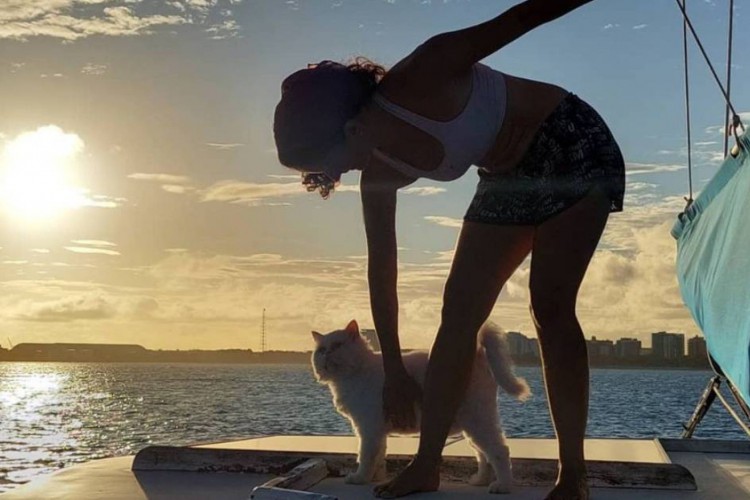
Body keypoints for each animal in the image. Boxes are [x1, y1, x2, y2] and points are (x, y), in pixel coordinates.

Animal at [310, 318, 528, 494]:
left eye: (337, 345)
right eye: (321, 350)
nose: (326, 355)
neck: (353, 374)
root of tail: (478, 354)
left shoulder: (368, 428)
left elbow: (365, 456)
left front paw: (359, 479)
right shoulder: (376, 431)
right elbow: (379, 457)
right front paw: (374, 478)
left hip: (477, 421)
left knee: (499, 451)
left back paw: (503, 486)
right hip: (472, 426)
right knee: (483, 455)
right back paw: (480, 480)